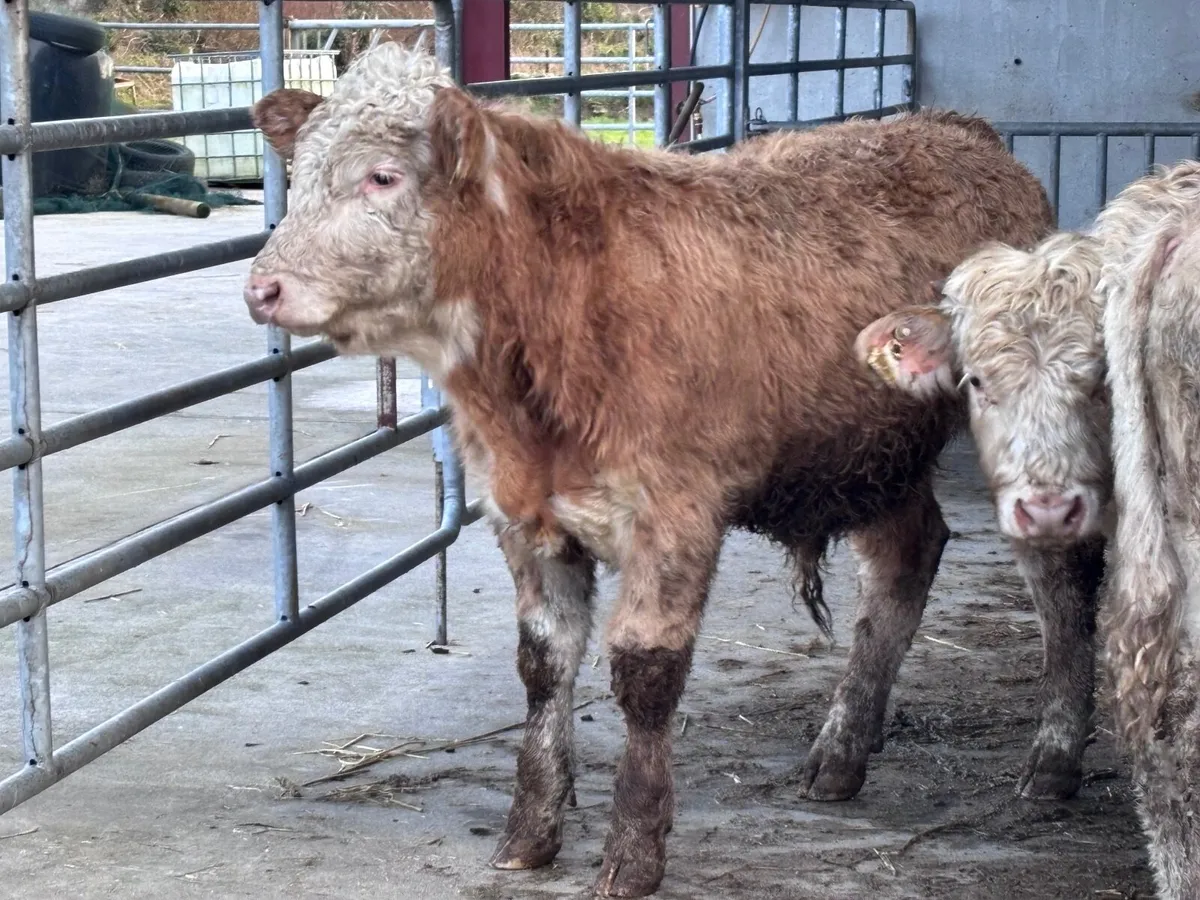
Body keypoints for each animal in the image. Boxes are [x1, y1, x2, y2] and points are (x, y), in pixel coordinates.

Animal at [241, 41, 1051, 897]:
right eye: (299, 173)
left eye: (383, 176)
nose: (263, 287)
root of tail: (958, 128)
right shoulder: (524, 516)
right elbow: (544, 661)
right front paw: (529, 832)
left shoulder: (677, 512)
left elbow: (646, 673)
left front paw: (633, 850)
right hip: (871, 457)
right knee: (906, 557)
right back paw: (840, 752)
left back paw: (1052, 761)